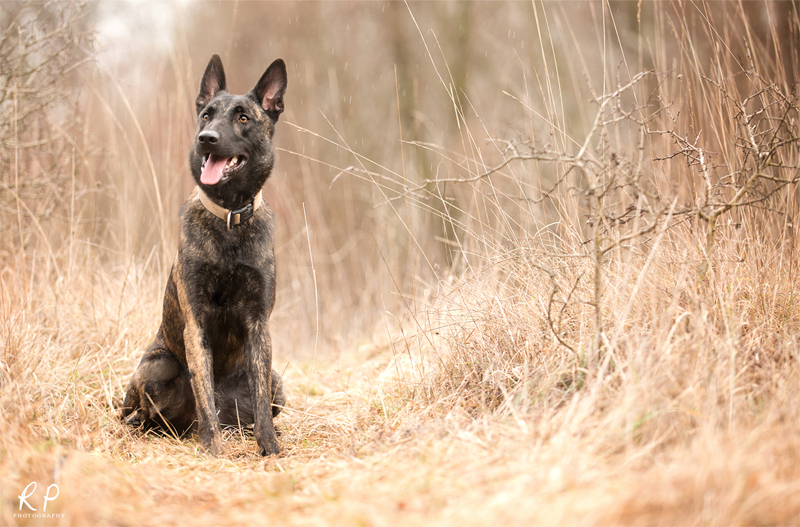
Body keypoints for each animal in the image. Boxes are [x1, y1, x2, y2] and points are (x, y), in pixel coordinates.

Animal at [121, 54, 288, 458]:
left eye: (243, 117)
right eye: (206, 115)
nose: (206, 139)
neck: (229, 218)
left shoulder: (259, 324)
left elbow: (260, 401)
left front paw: (269, 446)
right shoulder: (195, 323)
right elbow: (202, 389)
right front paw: (212, 447)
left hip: (278, 383)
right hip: (156, 367)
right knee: (145, 413)